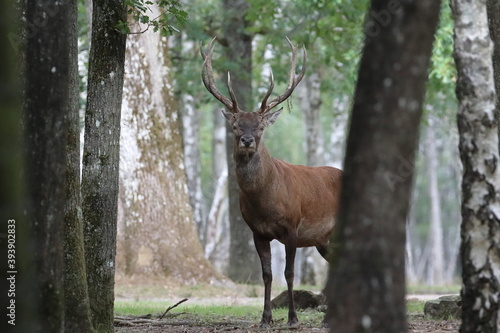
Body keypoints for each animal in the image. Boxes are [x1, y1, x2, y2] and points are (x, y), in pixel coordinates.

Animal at [201, 37, 342, 326]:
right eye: (235, 125)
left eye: (261, 126)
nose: (247, 140)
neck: (265, 201)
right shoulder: (257, 232)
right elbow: (267, 274)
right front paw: (266, 318)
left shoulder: (292, 227)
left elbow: (289, 273)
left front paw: (292, 318)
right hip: (324, 240)